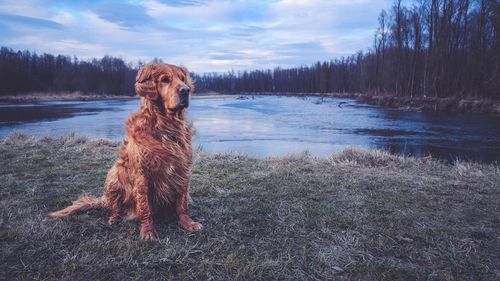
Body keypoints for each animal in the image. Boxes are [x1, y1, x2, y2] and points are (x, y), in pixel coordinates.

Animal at [49, 63, 201, 238]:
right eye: (165, 79)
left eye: (182, 79)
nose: (185, 90)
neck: (166, 126)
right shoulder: (142, 174)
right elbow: (144, 206)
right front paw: (148, 230)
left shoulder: (182, 168)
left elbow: (182, 202)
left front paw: (187, 222)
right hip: (114, 175)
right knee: (114, 207)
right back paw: (114, 218)